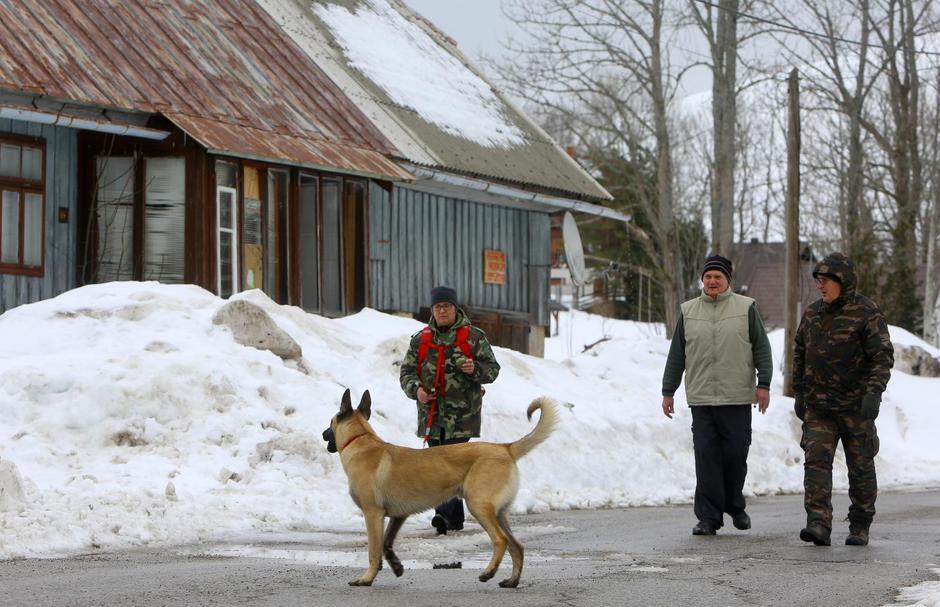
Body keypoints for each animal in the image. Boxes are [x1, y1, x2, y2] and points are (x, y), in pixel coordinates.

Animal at [324, 390, 556, 588]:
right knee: (517, 546)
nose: (324, 434)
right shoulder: (398, 516)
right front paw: (396, 566)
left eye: (330, 422)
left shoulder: (373, 514)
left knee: (501, 540)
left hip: (479, 505)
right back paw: (512, 581)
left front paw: (366, 578)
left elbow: (373, 550)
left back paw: (488, 572)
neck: (360, 440)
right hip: (499, 513)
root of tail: (506, 448)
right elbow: (386, 544)